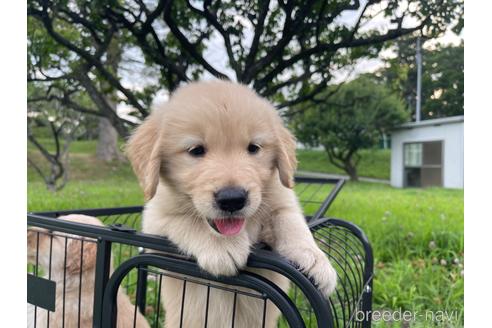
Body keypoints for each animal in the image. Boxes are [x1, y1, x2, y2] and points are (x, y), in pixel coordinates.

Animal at [126, 80, 338, 328]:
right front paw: (222, 246)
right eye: (196, 150)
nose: (232, 199)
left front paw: (314, 259)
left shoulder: (281, 200)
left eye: (254, 148)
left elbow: (291, 222)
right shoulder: (154, 225)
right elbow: (185, 220)